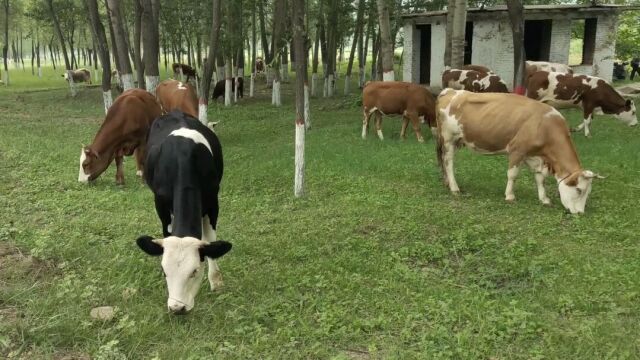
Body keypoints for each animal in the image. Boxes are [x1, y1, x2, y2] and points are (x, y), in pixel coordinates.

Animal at [136, 110, 232, 316]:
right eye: (164, 271)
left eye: (194, 271)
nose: (177, 308)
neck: (182, 159)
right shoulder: (160, 204)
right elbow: (166, 232)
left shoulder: (213, 201)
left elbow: (211, 239)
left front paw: (216, 281)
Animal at [436, 89, 600, 214]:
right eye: (579, 190)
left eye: (588, 192)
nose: (580, 213)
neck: (546, 126)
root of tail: (451, 91)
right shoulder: (517, 150)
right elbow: (513, 175)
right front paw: (510, 196)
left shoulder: (535, 156)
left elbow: (540, 179)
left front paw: (544, 199)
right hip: (448, 139)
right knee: (448, 162)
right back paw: (454, 188)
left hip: (456, 141)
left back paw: (446, 183)